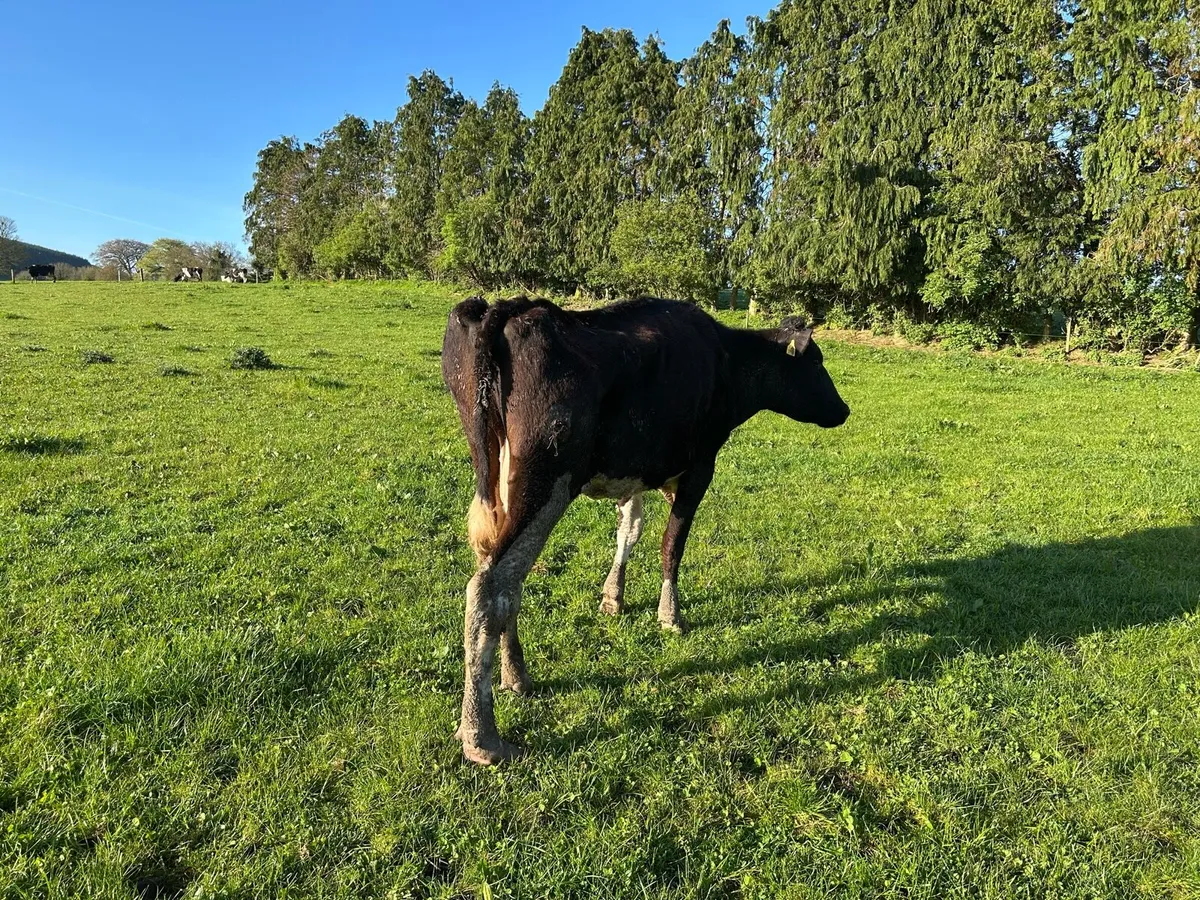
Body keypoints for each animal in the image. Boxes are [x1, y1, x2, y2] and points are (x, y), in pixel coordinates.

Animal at [441, 296, 851, 764]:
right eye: (816, 362)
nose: (844, 410)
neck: (727, 359)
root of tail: (510, 309)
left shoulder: (634, 472)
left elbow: (630, 529)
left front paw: (613, 596)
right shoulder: (700, 468)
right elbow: (672, 545)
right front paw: (670, 615)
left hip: (497, 483)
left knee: (505, 579)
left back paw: (516, 676)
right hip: (547, 478)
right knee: (491, 585)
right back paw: (482, 736)